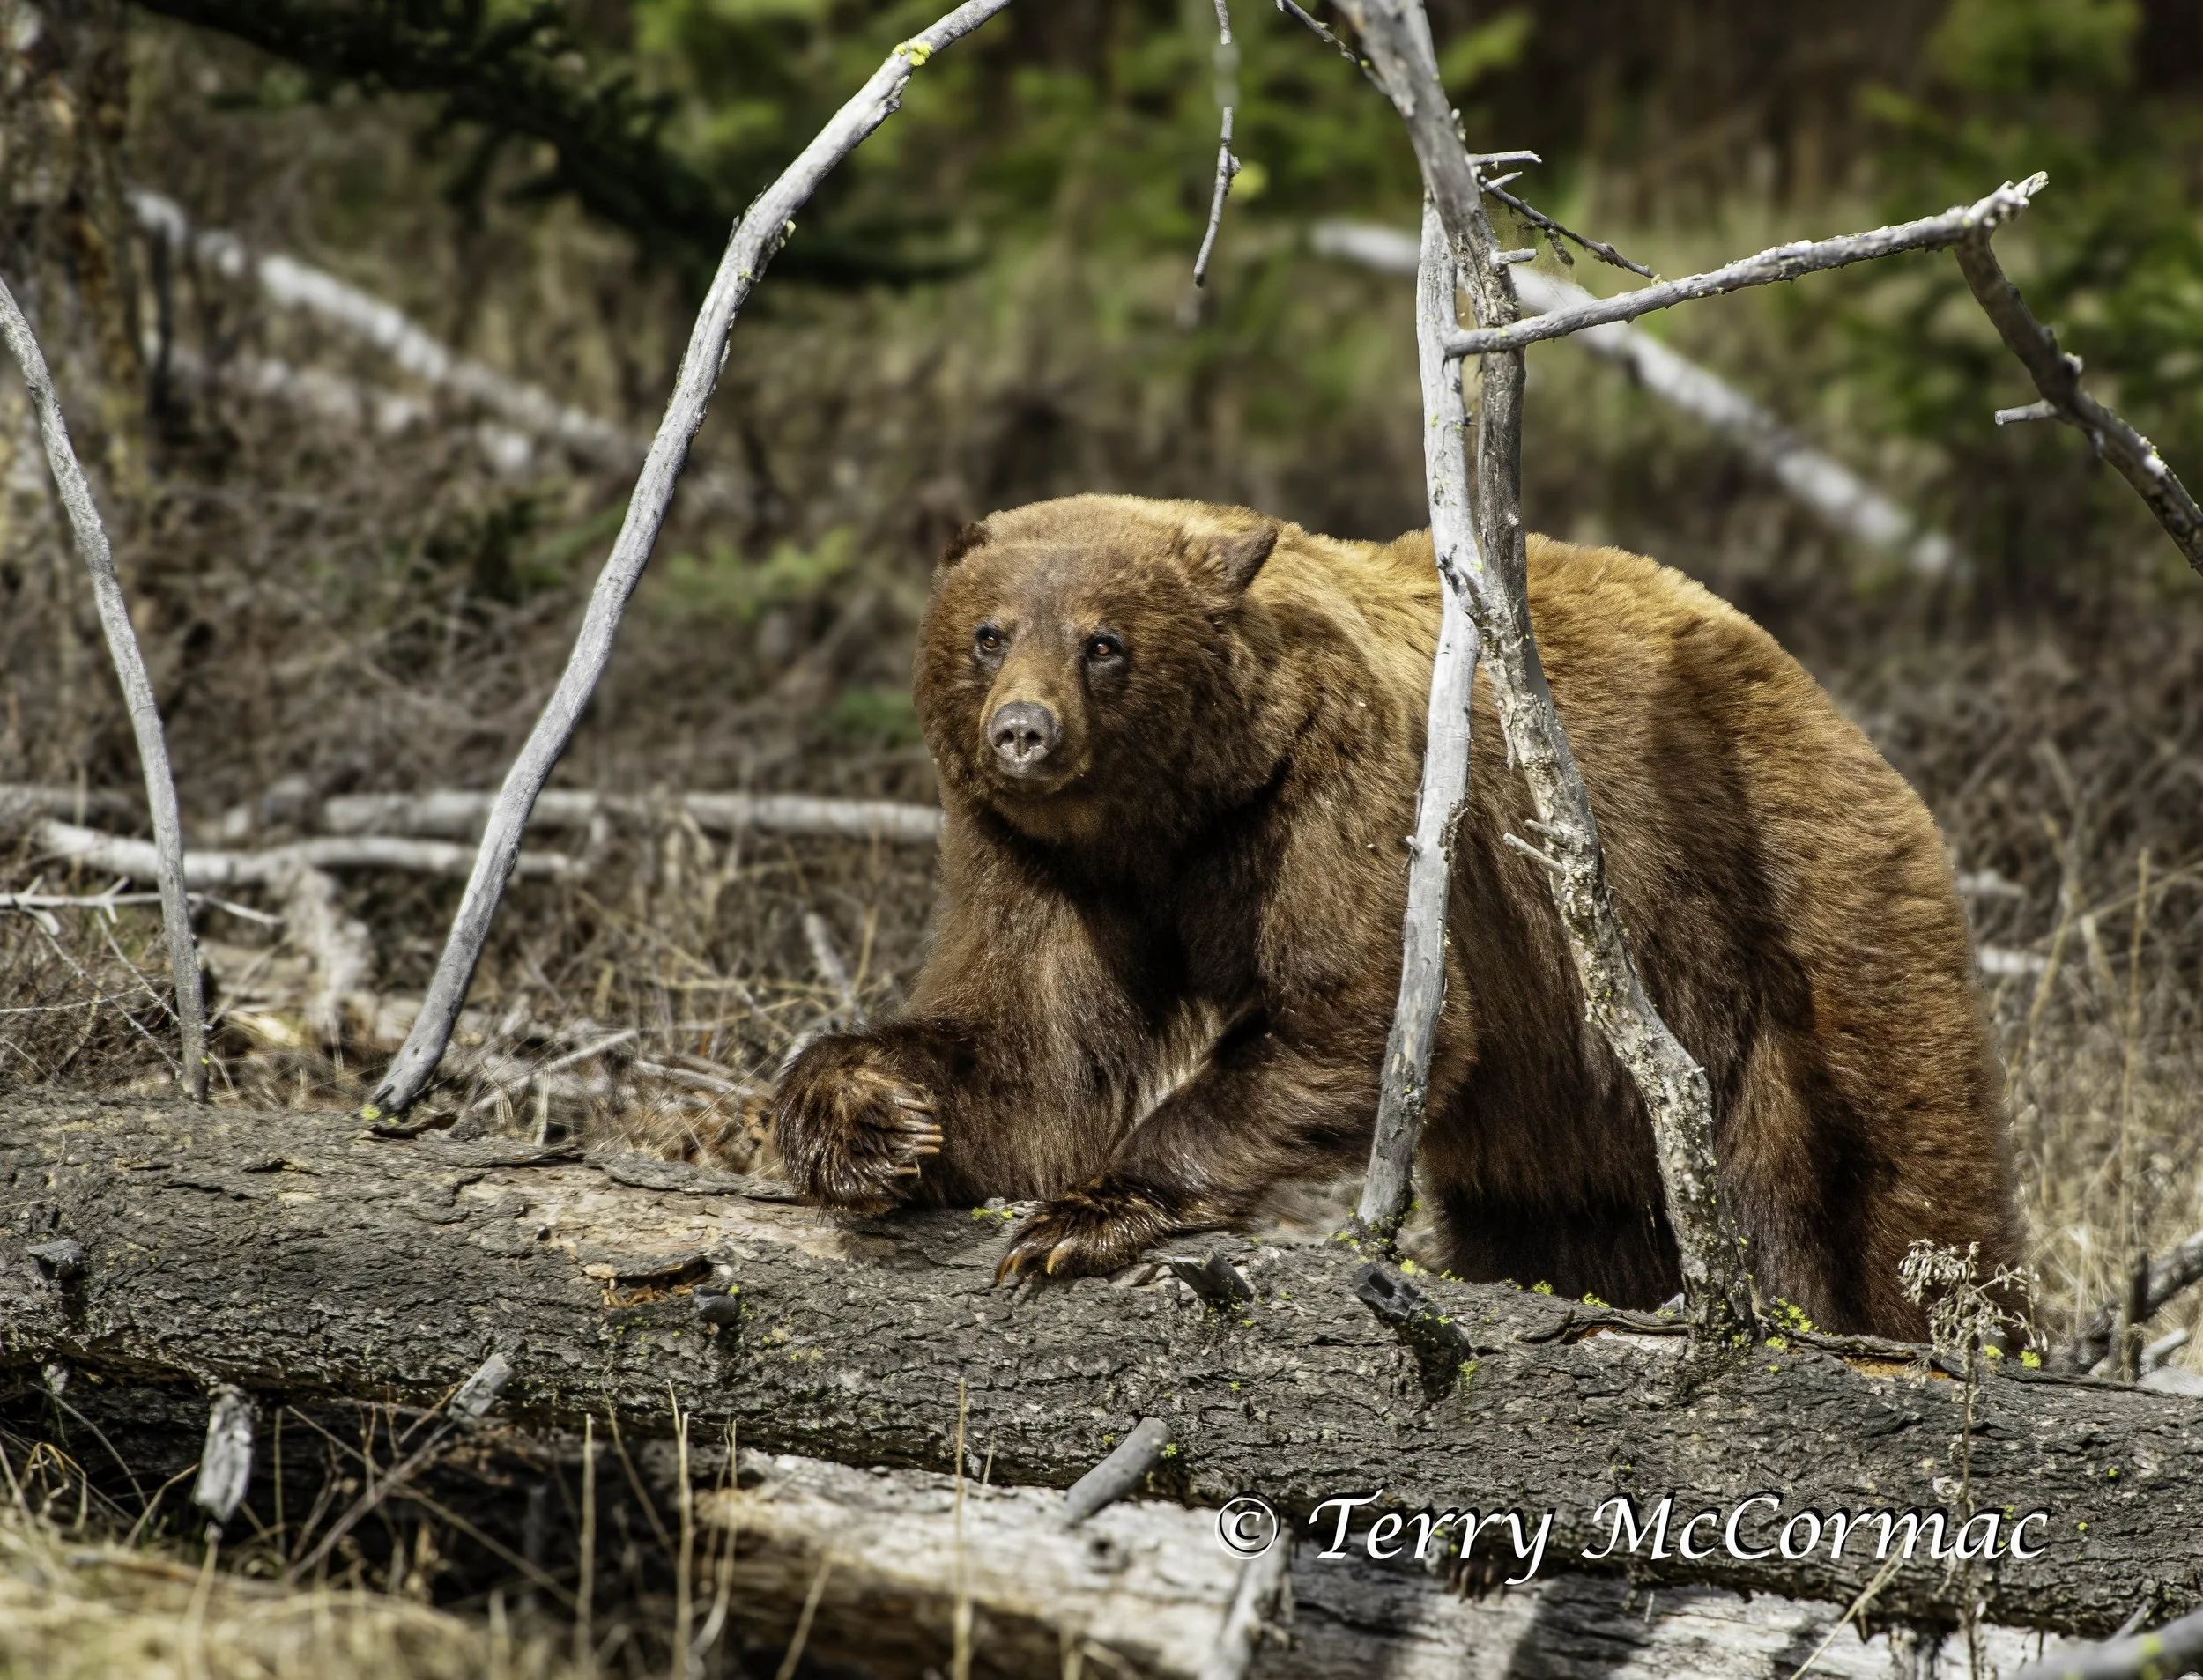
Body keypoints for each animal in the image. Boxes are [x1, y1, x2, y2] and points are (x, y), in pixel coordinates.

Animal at [771, 494, 2020, 1338]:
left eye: (1103, 641)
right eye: (989, 632)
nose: (1023, 732)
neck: (1174, 810)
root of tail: (1835, 713)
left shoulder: (1341, 790)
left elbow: (1361, 1009)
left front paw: (1078, 1216)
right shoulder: (1041, 857)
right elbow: (1030, 1046)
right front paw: (866, 1116)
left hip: (1792, 930)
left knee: (1891, 1194)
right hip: (1570, 1115)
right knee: (1572, 1221)